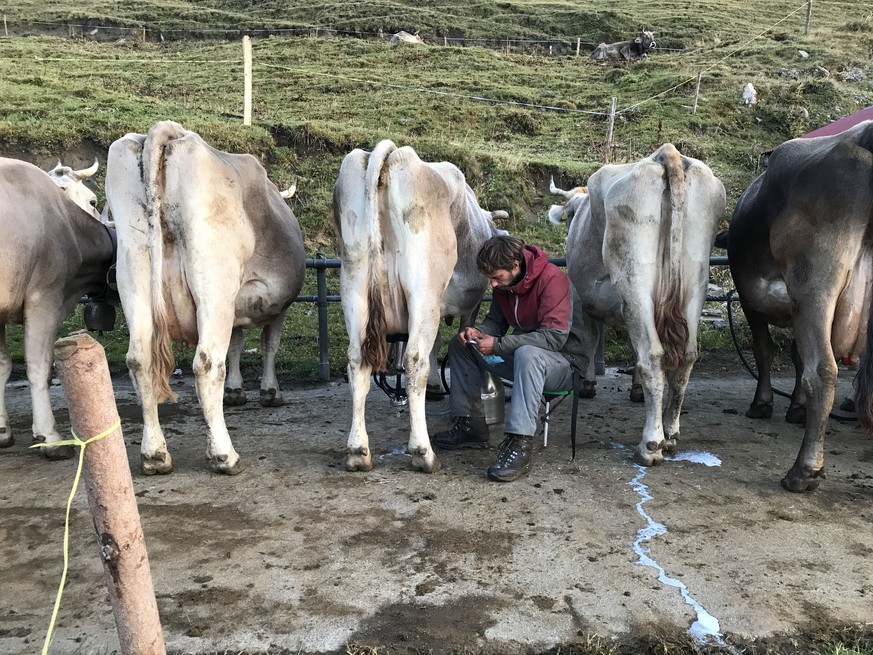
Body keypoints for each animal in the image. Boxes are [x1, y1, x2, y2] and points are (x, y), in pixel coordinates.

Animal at [0, 159, 116, 456]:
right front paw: (50, 437)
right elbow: (39, 366)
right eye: (93, 200)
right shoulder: (44, 297)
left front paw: (3, 430)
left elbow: (3, 365)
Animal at [106, 120, 306, 474]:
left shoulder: (238, 309)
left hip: (134, 275)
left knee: (140, 361)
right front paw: (270, 391)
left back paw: (154, 455)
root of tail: (168, 132)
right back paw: (224, 455)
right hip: (214, 286)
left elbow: (237, 346)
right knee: (207, 363)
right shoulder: (277, 307)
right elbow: (268, 345)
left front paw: (237, 391)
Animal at [334, 141, 510, 474]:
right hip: (422, 288)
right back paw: (422, 452)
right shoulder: (468, 305)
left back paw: (357, 451)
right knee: (415, 358)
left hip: (353, 284)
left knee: (356, 361)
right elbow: (441, 344)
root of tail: (393, 154)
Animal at [560, 144, 724, 466]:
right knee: (686, 357)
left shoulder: (581, 299)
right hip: (695, 278)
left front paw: (587, 384)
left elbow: (590, 342)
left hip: (634, 275)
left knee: (652, 354)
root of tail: (666, 154)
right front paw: (634, 389)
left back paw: (651, 443)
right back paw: (670, 434)